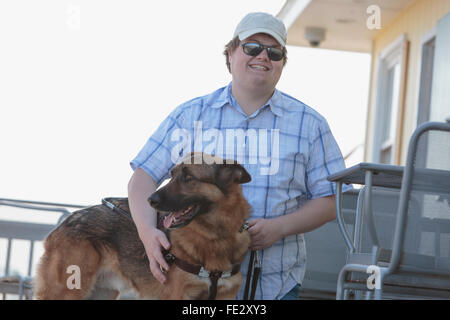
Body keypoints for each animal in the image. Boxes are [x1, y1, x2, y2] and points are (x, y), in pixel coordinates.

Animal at [34, 154, 253, 298]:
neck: (216, 235)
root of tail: (66, 221)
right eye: (172, 175)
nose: (150, 200)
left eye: (188, 177)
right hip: (68, 290)